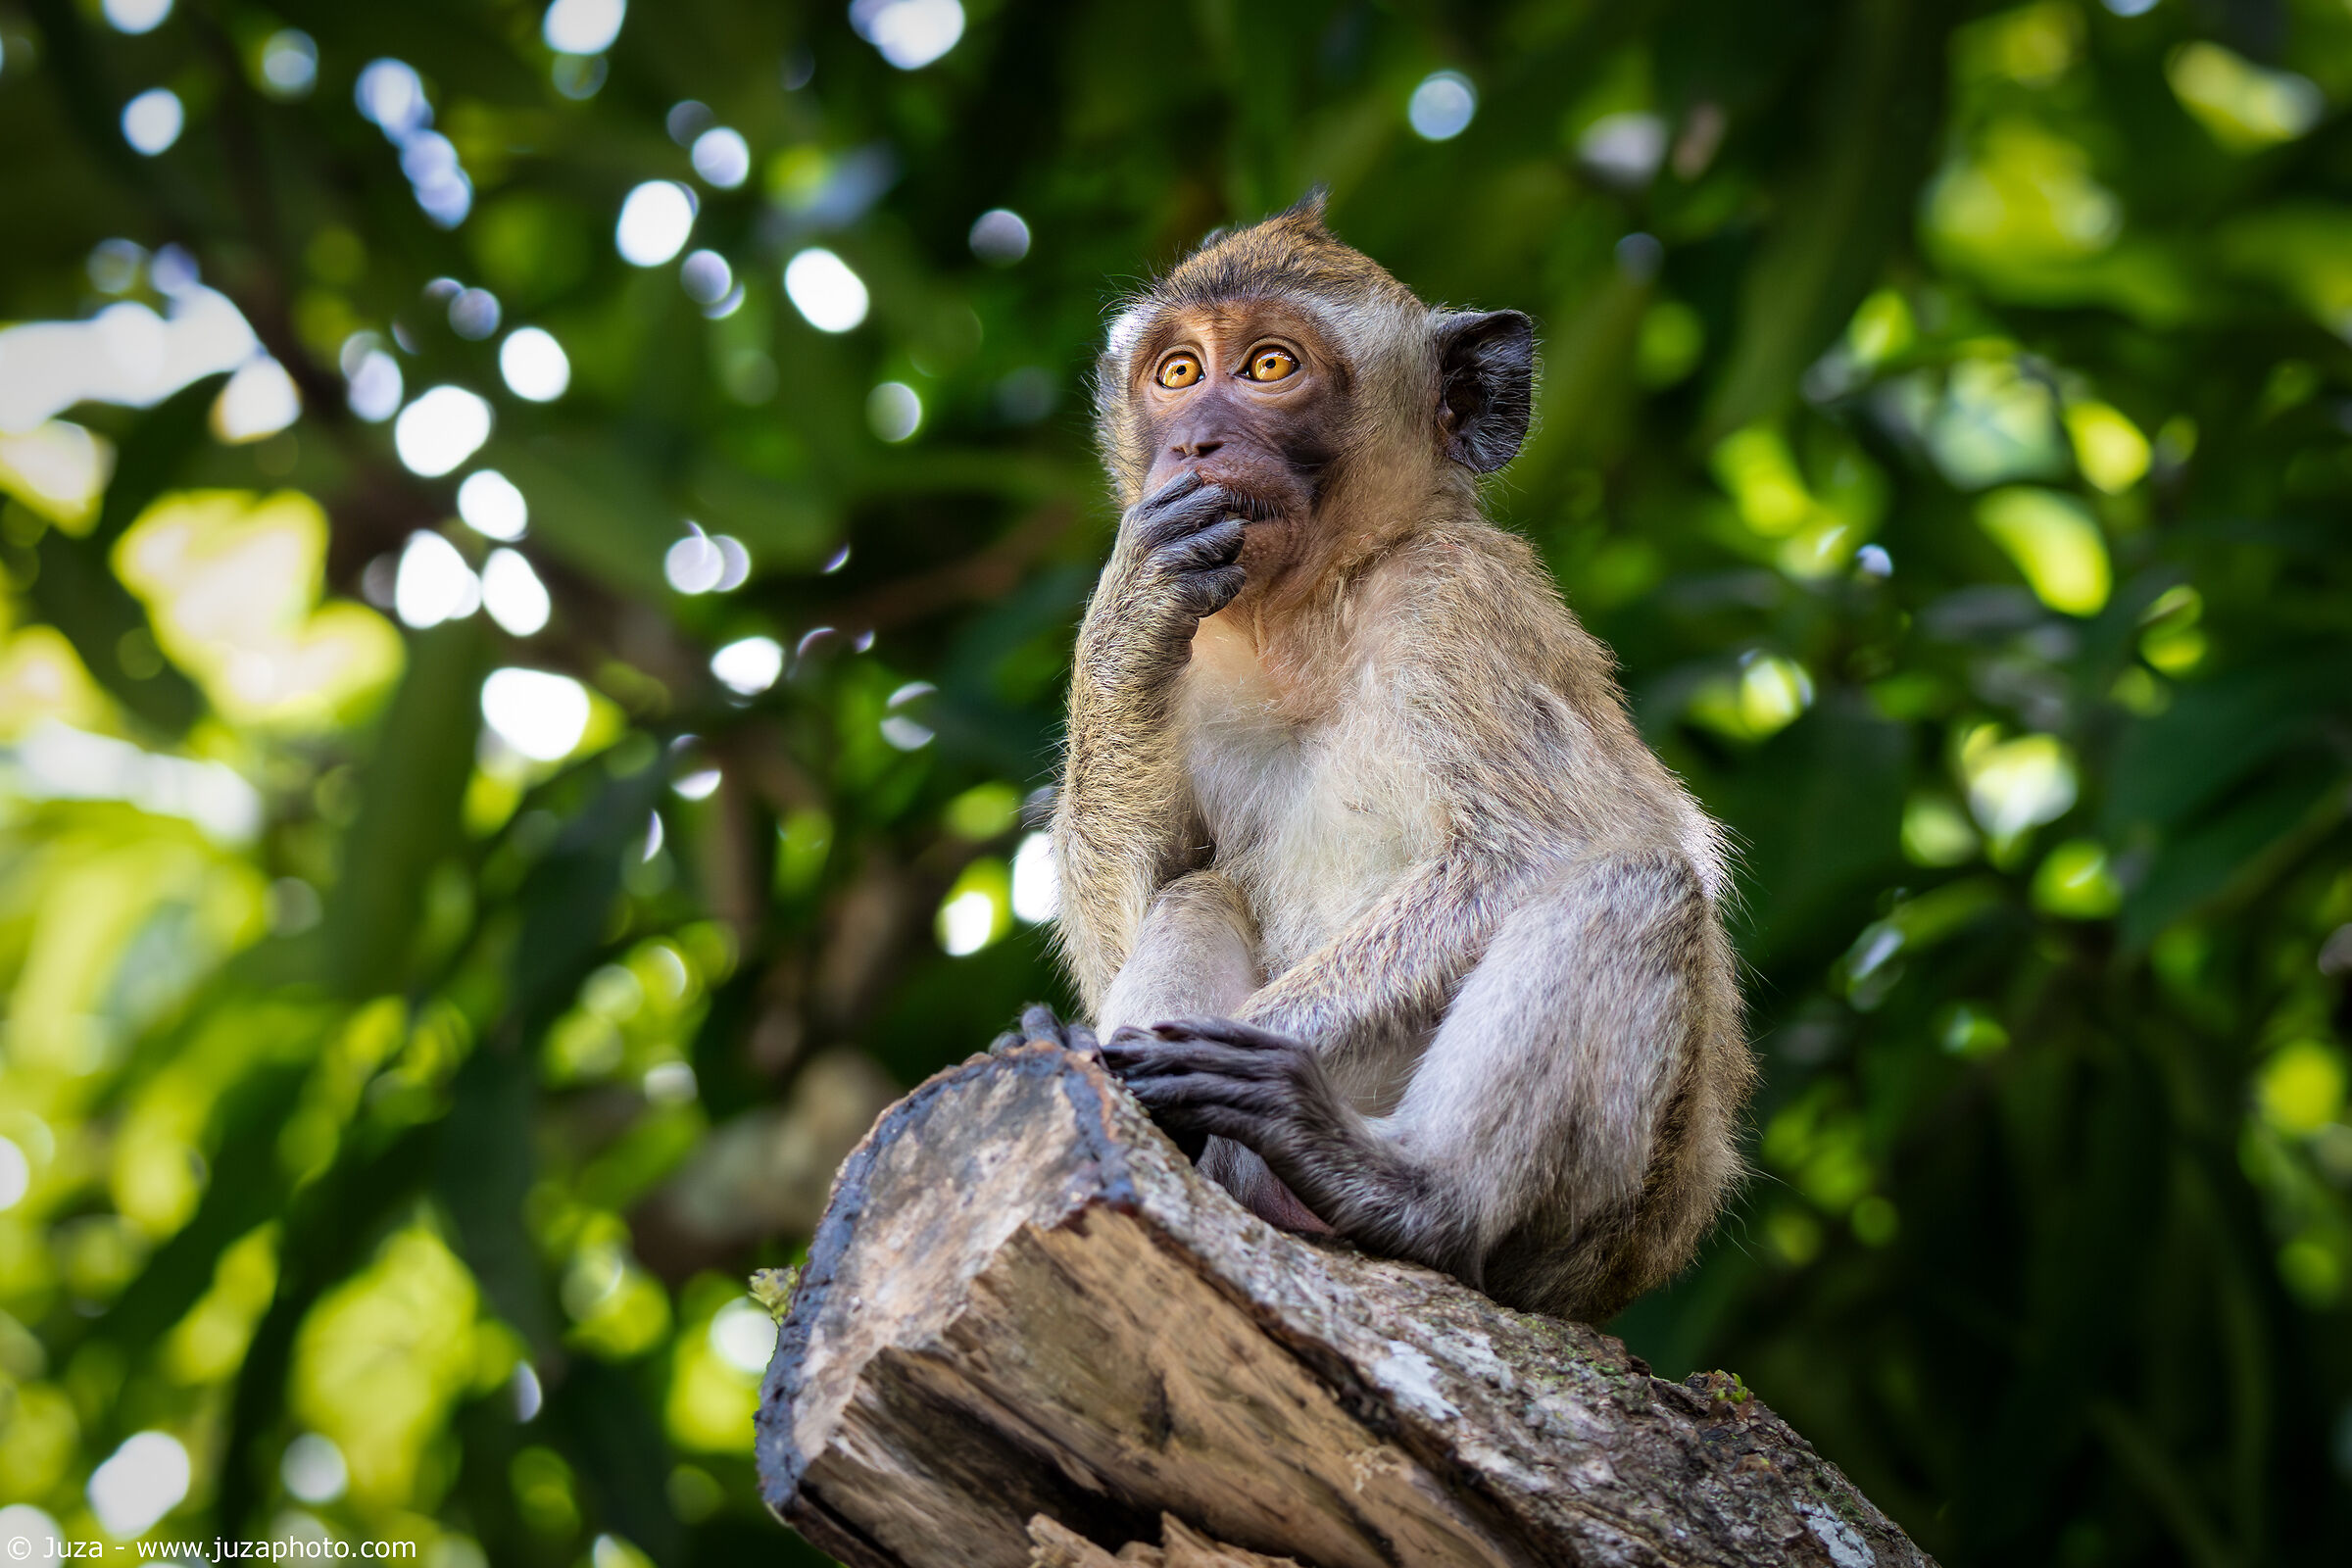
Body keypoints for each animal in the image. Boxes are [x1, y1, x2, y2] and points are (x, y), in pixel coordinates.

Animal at [1021, 194, 1752, 1325]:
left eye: (1270, 366)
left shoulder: (1460, 598)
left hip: (1605, 1223)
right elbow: (1138, 913)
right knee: (1199, 892)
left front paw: (1148, 1064)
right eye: (1178, 371)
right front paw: (1129, 609)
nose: (1193, 441)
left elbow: (1544, 850)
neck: (1314, 612)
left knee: (1628, 881)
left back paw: (1408, 1191)